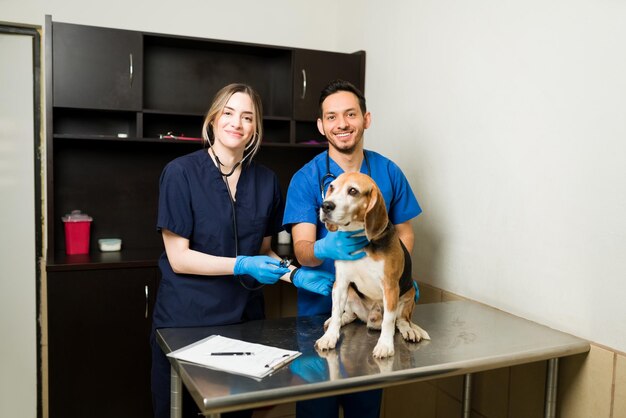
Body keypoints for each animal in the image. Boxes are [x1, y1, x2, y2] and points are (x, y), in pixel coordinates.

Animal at [312, 171, 428, 358]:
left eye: (353, 191)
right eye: (331, 187)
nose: (325, 205)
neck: (359, 239)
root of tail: (371, 318)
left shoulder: (390, 287)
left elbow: (389, 320)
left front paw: (385, 345)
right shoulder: (341, 283)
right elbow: (336, 312)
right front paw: (329, 337)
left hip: (409, 294)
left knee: (401, 320)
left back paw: (409, 330)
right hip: (350, 293)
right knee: (349, 315)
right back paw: (340, 320)